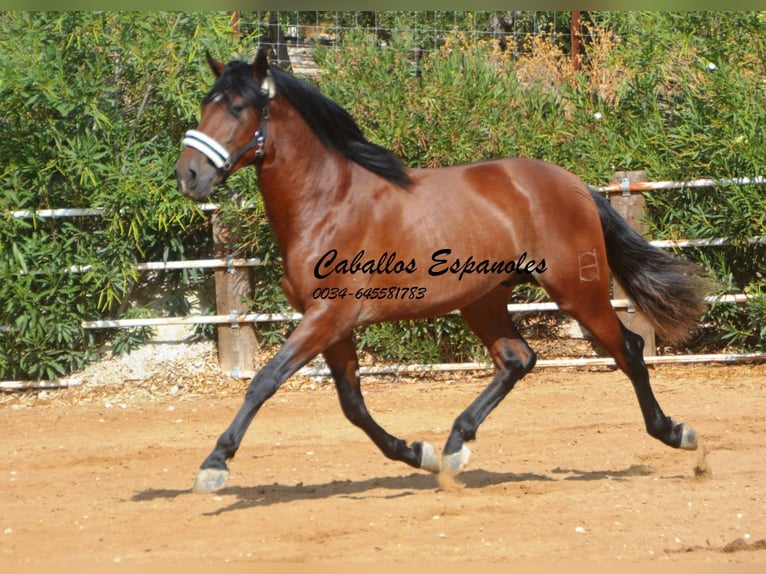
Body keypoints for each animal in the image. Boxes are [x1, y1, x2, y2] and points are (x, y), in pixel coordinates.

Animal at [176, 50, 712, 496]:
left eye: (237, 107)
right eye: (206, 103)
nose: (188, 175)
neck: (329, 203)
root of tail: (574, 184)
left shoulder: (329, 316)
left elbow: (265, 380)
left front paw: (214, 465)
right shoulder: (332, 324)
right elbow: (352, 405)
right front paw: (419, 453)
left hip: (577, 290)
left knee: (628, 349)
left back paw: (676, 433)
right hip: (483, 298)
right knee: (518, 359)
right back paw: (454, 448)